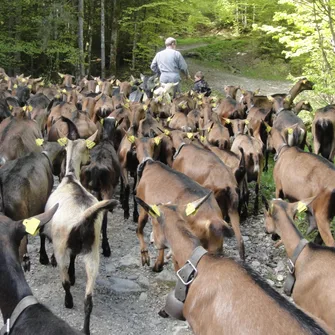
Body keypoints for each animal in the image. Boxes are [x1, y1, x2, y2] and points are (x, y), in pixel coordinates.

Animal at [41, 127, 118, 334]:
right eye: (87, 148)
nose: (88, 160)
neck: (70, 178)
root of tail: (85, 217)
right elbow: (75, 258)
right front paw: (75, 274)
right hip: (93, 254)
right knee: (88, 299)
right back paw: (85, 329)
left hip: (61, 248)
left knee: (64, 281)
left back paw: (68, 302)